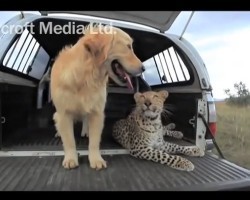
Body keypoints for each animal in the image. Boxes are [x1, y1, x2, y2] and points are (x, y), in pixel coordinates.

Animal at [50, 23, 144, 170]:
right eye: (128, 46)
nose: (143, 68)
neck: (86, 77)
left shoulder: (97, 112)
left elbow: (94, 141)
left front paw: (96, 159)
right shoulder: (64, 113)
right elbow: (69, 140)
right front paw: (71, 158)